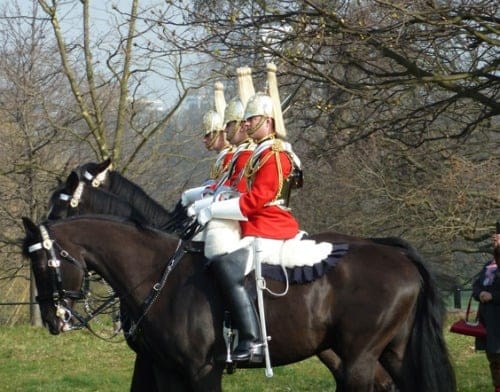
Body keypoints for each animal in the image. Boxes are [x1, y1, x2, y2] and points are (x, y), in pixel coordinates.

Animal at [21, 216, 456, 390]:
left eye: (44, 264)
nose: (54, 319)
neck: (161, 276)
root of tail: (395, 253)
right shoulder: (167, 371)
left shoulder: (203, 371)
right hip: (393, 352)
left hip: (359, 359)